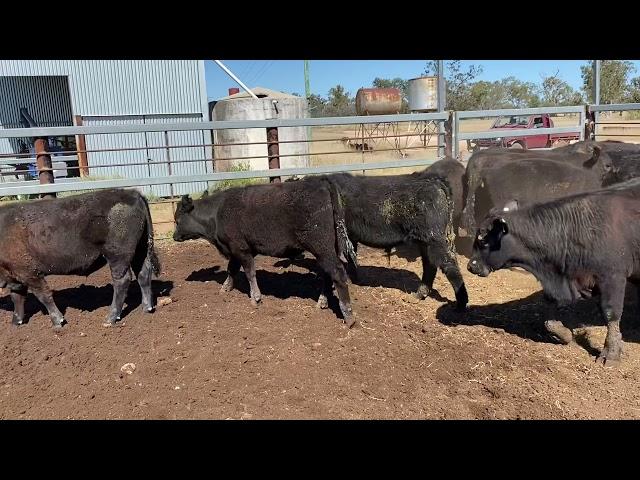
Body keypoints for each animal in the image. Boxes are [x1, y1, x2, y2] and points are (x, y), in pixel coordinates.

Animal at [0, 189, 160, 328]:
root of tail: (133, 193)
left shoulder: (29, 273)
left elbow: (43, 295)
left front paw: (58, 321)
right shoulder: (14, 275)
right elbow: (17, 297)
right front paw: (16, 323)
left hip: (118, 254)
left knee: (122, 281)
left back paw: (110, 318)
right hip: (140, 248)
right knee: (143, 273)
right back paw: (147, 308)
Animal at [172, 178, 358, 328]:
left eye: (177, 220)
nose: (174, 236)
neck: (217, 213)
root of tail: (322, 183)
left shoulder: (241, 249)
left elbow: (250, 273)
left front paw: (255, 298)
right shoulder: (237, 250)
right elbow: (231, 269)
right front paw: (225, 288)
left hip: (322, 247)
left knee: (337, 273)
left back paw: (348, 315)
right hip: (328, 250)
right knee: (328, 274)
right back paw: (322, 302)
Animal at [328, 171, 468, 310]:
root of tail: (434, 180)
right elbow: (351, 257)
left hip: (435, 239)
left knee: (449, 264)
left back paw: (461, 304)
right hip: (427, 242)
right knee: (430, 265)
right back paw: (418, 295)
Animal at [468, 177, 640, 364]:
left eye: (483, 239)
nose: (471, 266)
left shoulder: (612, 277)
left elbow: (610, 313)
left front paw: (611, 353)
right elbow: (551, 318)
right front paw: (564, 335)